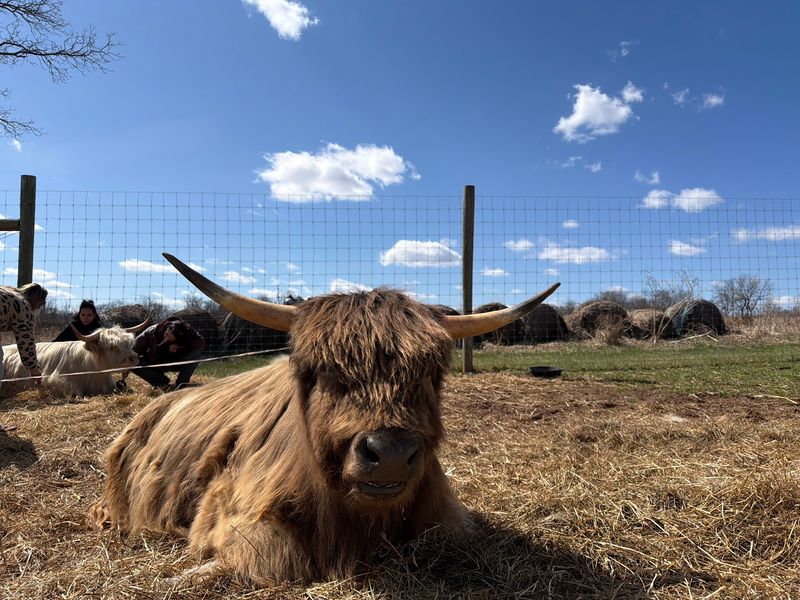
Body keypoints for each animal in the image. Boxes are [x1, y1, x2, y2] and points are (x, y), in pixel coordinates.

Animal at [89, 253, 560, 584]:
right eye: (325, 371)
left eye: (430, 372)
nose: (389, 454)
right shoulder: (234, 513)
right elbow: (275, 557)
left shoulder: (447, 516)